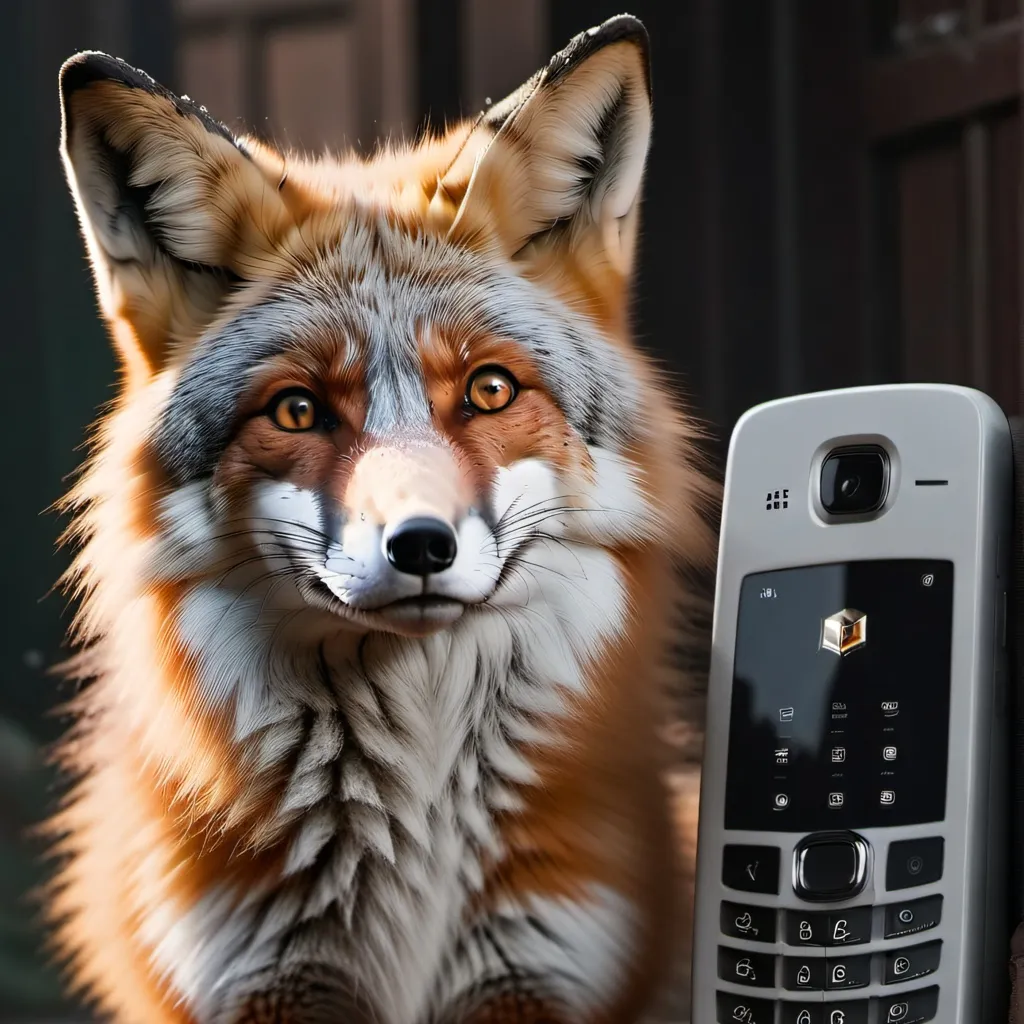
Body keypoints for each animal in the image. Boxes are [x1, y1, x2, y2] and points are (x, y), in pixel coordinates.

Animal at [46, 13, 715, 1024]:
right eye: (296, 411)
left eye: (488, 390)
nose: (421, 546)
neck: (418, 836)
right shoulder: (266, 975)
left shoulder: (538, 961)